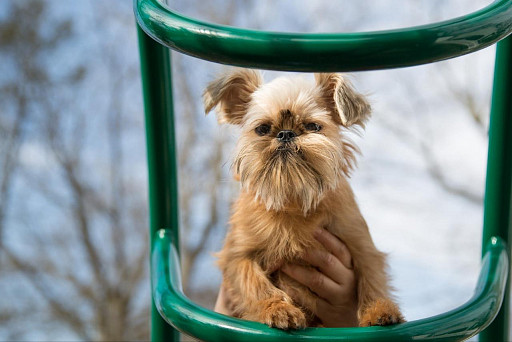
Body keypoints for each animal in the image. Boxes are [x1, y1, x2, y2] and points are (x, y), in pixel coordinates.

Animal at [202, 69, 406, 328]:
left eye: (313, 126)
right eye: (262, 129)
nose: (285, 134)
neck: (293, 200)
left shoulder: (361, 245)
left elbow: (372, 278)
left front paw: (378, 310)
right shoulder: (237, 255)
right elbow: (255, 284)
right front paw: (278, 309)